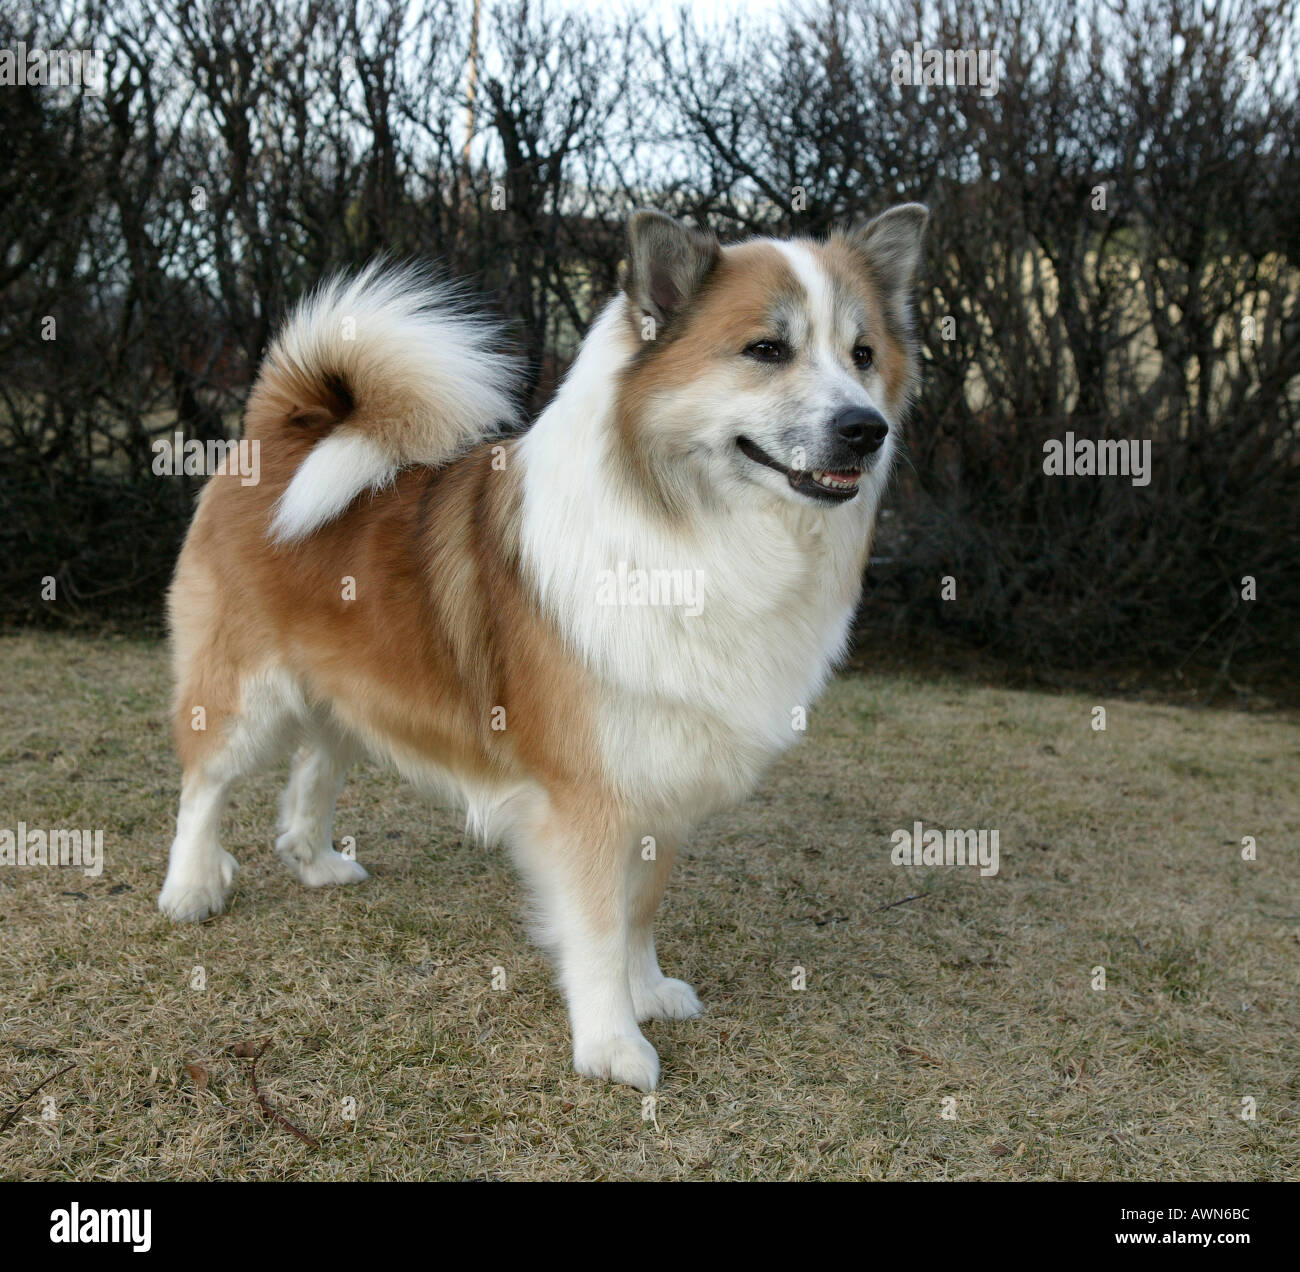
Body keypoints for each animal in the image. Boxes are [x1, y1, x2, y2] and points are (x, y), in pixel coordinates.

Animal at [157, 202, 930, 1087]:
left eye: (863, 355)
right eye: (767, 350)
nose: (865, 429)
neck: (693, 534)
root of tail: (287, 428)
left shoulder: (661, 774)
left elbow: (639, 911)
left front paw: (646, 990)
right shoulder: (585, 798)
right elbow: (595, 929)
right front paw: (611, 1043)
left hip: (348, 687)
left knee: (313, 769)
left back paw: (315, 862)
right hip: (243, 687)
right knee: (205, 783)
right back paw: (190, 888)